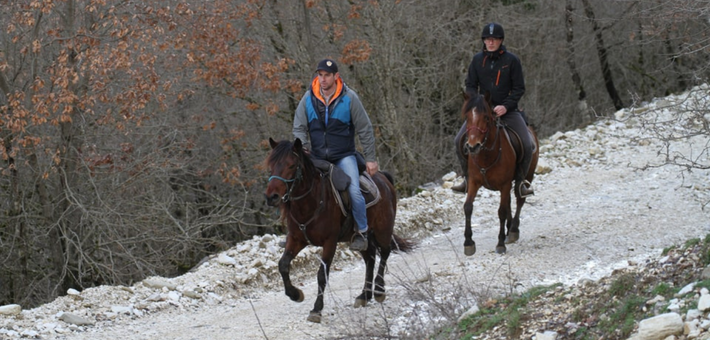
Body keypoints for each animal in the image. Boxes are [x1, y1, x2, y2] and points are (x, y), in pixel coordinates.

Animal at [264, 137, 414, 322]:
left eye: (291, 165)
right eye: (271, 166)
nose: (271, 197)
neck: (311, 202)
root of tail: (383, 178)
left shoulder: (330, 242)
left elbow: (322, 275)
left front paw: (316, 309)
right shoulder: (296, 239)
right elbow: (283, 265)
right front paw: (295, 294)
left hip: (383, 229)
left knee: (385, 252)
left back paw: (379, 291)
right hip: (360, 238)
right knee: (370, 258)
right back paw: (364, 296)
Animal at [462, 92, 540, 255]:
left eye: (486, 117)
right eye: (467, 117)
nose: (472, 146)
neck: (486, 155)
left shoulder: (504, 184)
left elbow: (502, 211)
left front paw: (500, 243)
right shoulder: (473, 182)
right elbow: (468, 207)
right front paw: (468, 243)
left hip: (526, 176)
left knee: (519, 199)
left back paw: (513, 230)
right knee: (510, 201)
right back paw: (509, 229)